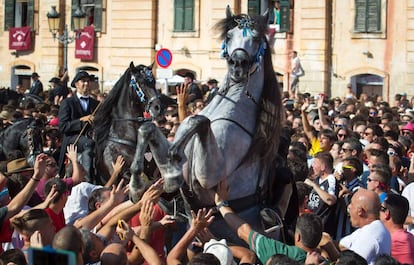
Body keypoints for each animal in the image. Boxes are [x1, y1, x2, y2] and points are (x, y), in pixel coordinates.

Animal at [129, 6, 294, 241]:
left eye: (256, 38)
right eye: (229, 36)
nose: (238, 64)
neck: (230, 105)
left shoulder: (210, 176)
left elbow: (200, 120)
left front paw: (173, 166)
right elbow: (148, 128)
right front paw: (138, 185)